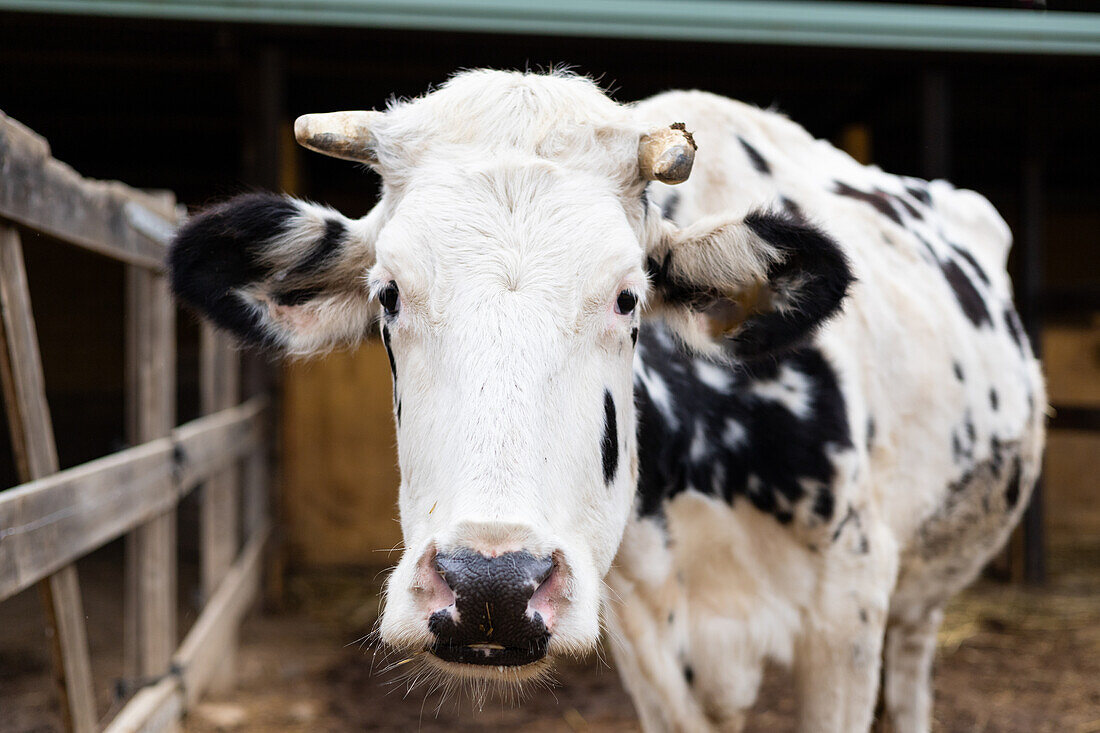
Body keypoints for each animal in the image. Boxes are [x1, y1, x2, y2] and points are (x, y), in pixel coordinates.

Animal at [167, 68, 1042, 730]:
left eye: (629, 297)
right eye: (388, 294)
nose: (491, 588)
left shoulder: (848, 610)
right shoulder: (648, 637)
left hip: (920, 590)